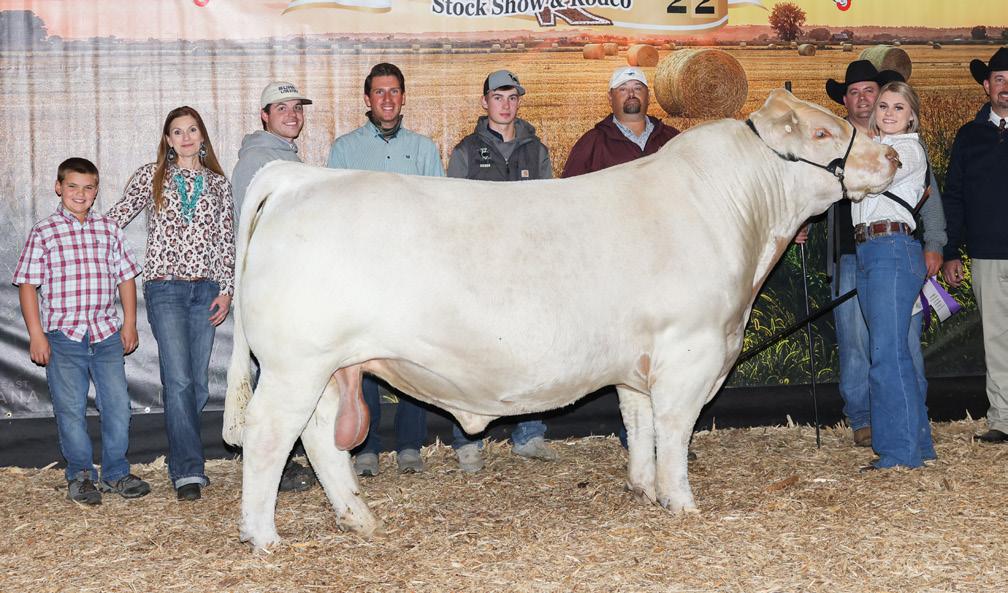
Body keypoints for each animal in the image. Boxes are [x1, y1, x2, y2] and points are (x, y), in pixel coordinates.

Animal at [223, 89, 899, 549]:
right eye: (823, 131)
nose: (892, 153)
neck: (735, 215)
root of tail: (299, 176)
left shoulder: (640, 359)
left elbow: (640, 423)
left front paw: (643, 487)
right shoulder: (691, 349)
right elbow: (675, 428)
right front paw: (680, 502)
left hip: (331, 367)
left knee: (320, 437)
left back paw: (358, 517)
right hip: (295, 364)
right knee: (268, 436)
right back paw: (263, 536)